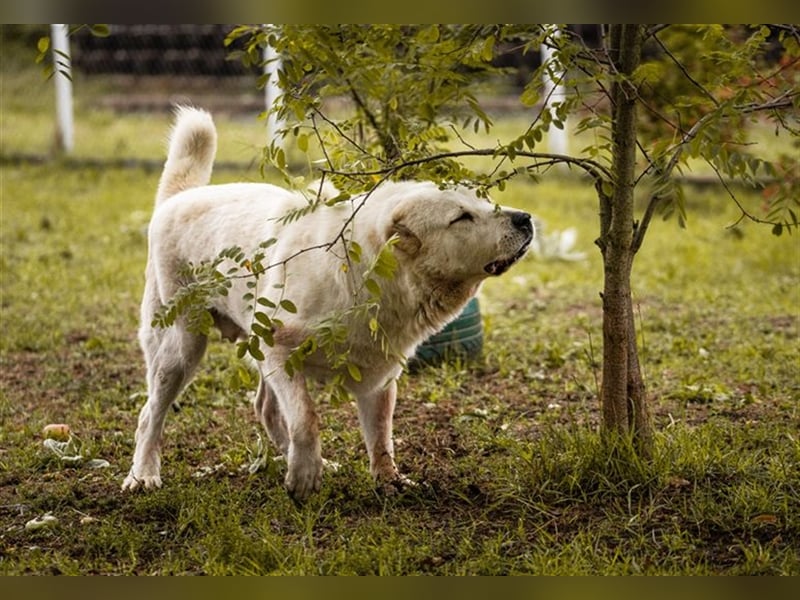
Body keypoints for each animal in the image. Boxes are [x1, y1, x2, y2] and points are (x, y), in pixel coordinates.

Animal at [123, 105, 532, 500]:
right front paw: (304, 476)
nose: (525, 219)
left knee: (265, 408)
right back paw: (143, 475)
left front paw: (389, 483)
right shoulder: (280, 352)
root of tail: (179, 197)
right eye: (461, 217)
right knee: (149, 415)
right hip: (181, 348)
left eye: (483, 202)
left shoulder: (378, 378)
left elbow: (381, 438)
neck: (367, 275)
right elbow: (306, 419)